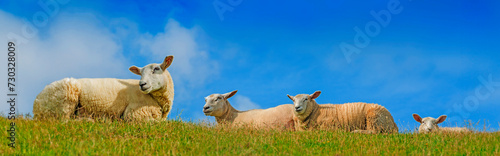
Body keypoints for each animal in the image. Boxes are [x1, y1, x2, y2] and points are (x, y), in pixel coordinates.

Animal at [32, 55, 175, 121]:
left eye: (156, 69)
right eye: (140, 73)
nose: (142, 84)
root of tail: (37, 103)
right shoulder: (135, 113)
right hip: (66, 97)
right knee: (64, 120)